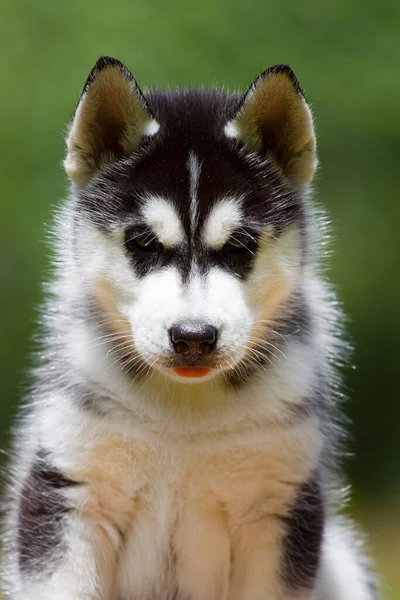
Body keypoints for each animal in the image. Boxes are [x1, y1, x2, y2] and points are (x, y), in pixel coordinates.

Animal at [1, 57, 376, 600]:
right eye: (142, 241)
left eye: (240, 245)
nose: (194, 337)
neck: (185, 419)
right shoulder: (66, 488)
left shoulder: (279, 509)